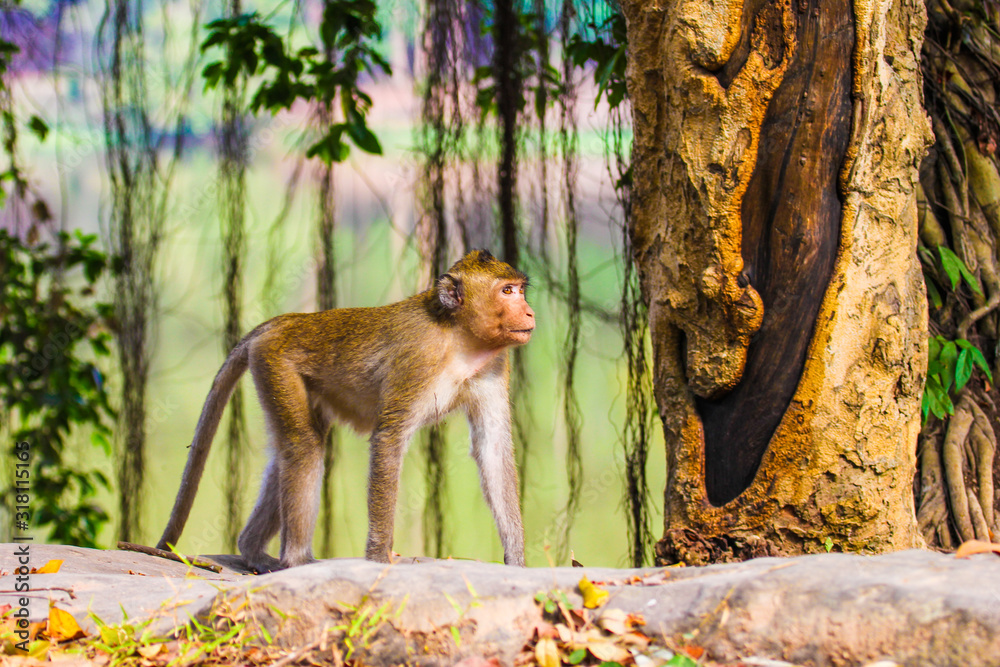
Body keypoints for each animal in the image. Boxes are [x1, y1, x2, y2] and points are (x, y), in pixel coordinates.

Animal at [157, 249, 534, 572]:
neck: (458, 336)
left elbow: (493, 450)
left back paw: (252, 551)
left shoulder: (493, 365)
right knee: (304, 448)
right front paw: (379, 559)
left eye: (518, 290)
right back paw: (297, 560)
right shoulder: (417, 358)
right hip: (275, 364)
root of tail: (281, 322)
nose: (530, 312)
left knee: (290, 454)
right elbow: (388, 439)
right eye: (507, 291)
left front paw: (517, 563)